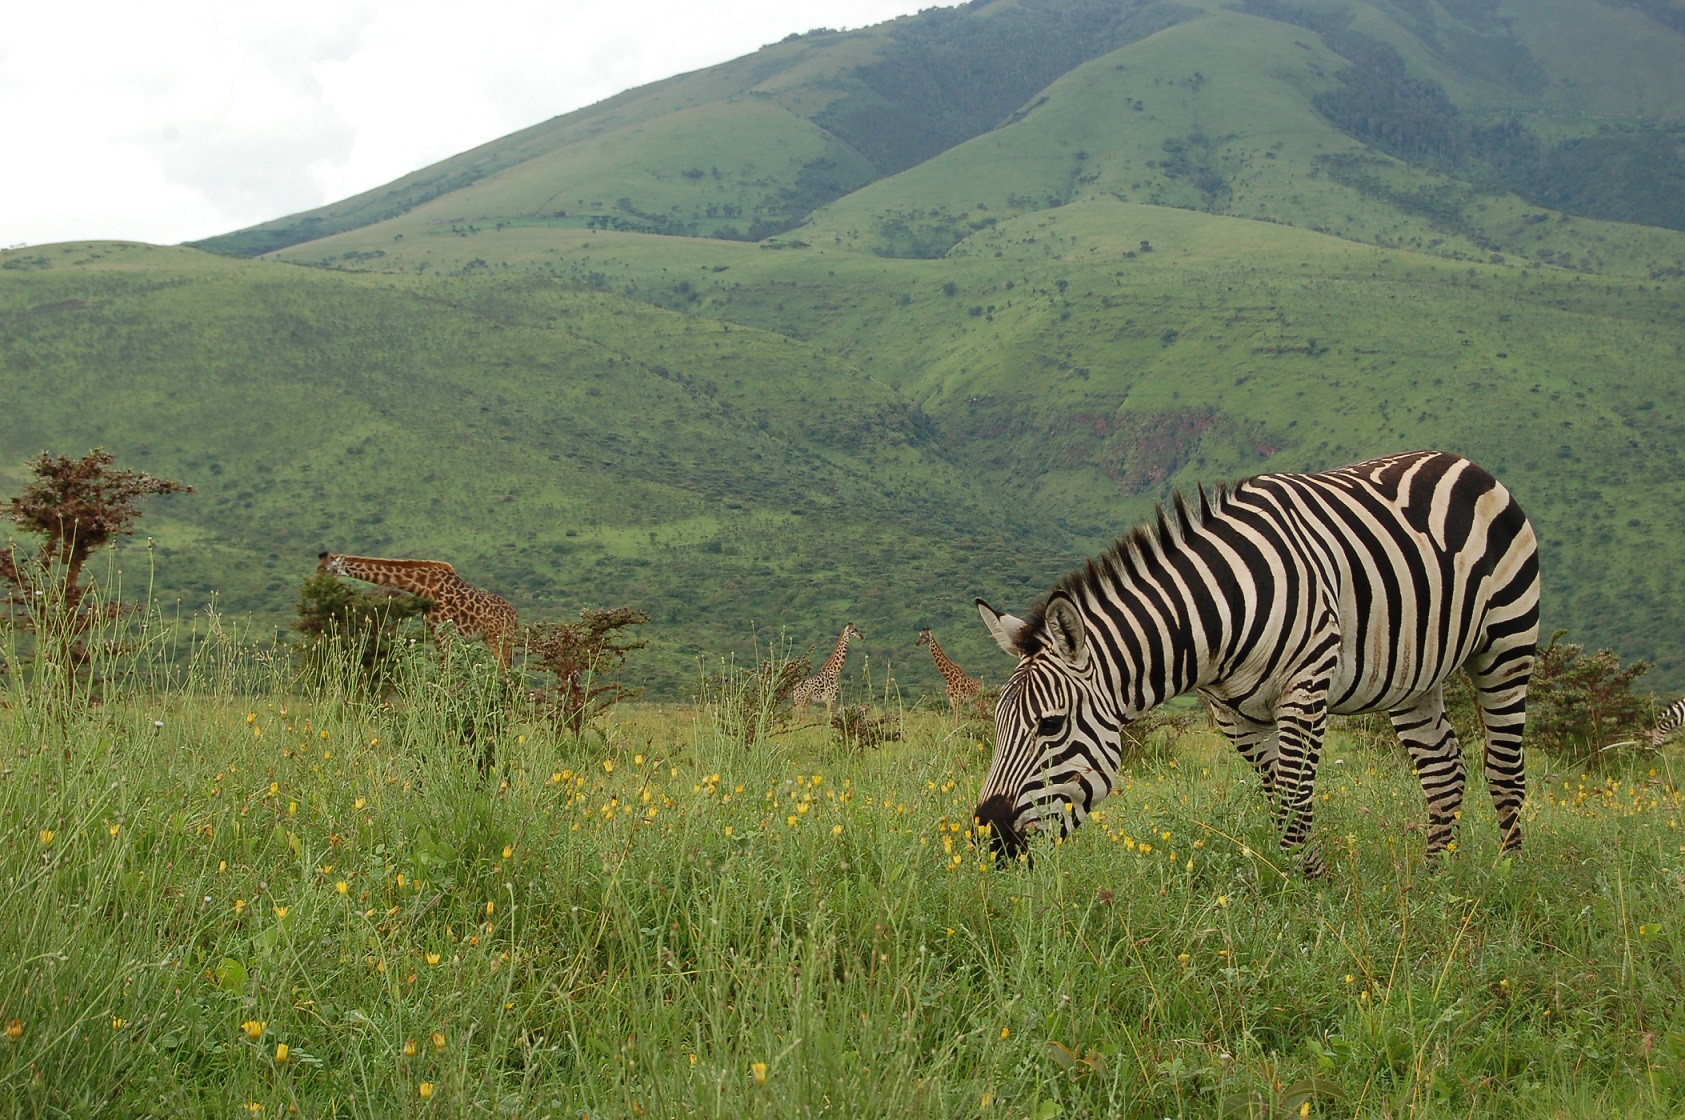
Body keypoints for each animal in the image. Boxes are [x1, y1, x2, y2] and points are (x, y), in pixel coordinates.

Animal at [318, 552, 518, 666]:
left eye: (325, 570)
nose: (316, 583)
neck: (424, 586)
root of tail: (514, 615)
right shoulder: (440, 635)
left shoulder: (443, 635)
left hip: (499, 638)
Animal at [977, 448, 1543, 875]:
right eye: (998, 725)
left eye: (1050, 725)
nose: (987, 836)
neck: (1218, 617)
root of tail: (1457, 459)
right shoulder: (1234, 715)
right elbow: (1279, 803)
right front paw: (1305, 885)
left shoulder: (1306, 686)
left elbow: (1295, 800)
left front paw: (1310, 910)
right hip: (1412, 674)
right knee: (1443, 769)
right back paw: (1435, 883)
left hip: (1508, 642)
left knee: (1504, 768)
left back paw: (1510, 877)